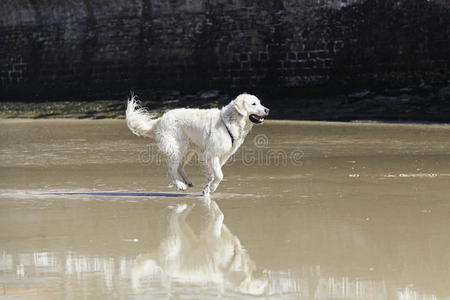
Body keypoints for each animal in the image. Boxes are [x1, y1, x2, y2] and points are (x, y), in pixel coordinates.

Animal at [125, 92, 268, 195]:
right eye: (254, 104)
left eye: (260, 103)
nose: (267, 109)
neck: (229, 122)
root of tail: (160, 120)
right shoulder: (211, 154)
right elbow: (219, 175)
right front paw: (213, 187)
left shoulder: (221, 157)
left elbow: (213, 174)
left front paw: (207, 189)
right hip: (177, 148)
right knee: (172, 168)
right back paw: (180, 184)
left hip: (188, 150)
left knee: (179, 167)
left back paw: (188, 181)